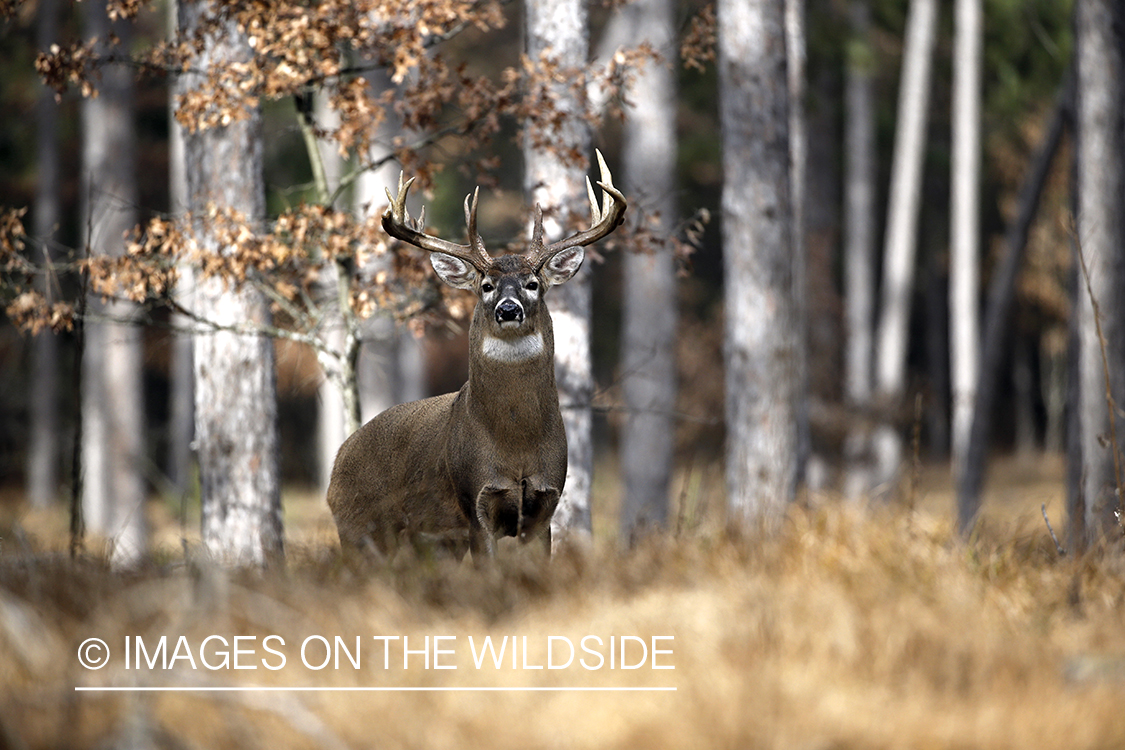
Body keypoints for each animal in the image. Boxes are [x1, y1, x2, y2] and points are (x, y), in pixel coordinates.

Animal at [326, 152, 630, 559]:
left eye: (533, 284)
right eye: (486, 285)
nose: (508, 309)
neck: (516, 445)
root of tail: (336, 464)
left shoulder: (544, 505)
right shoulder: (475, 503)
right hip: (360, 531)